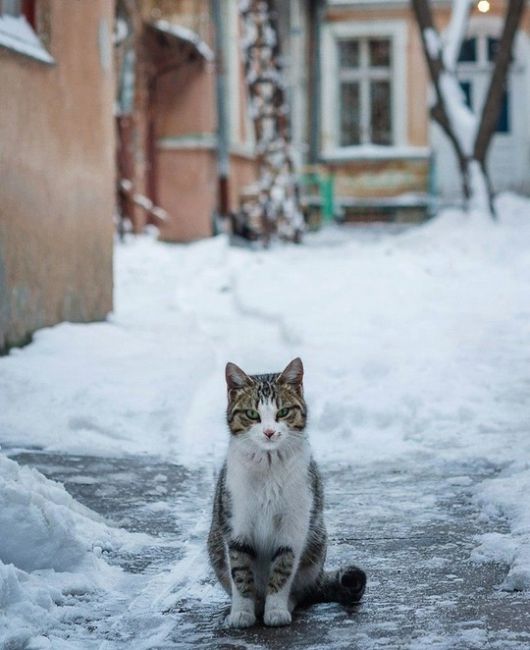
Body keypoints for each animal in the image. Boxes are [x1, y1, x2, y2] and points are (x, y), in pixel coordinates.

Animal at [207, 356, 368, 624]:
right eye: (252, 414)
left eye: (282, 412)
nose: (269, 432)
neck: (268, 466)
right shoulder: (236, 523)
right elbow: (240, 572)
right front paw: (241, 613)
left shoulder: (294, 524)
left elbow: (283, 568)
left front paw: (276, 610)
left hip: (316, 545)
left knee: (302, 589)